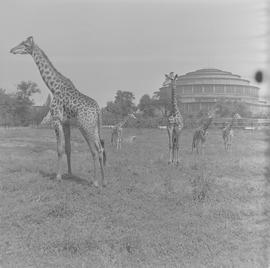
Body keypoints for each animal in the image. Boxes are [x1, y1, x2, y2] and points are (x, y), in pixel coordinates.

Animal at [11, 36, 107, 187]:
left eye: (24, 44)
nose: (12, 50)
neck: (53, 86)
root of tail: (98, 109)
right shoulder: (66, 123)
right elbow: (68, 148)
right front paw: (69, 173)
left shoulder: (56, 120)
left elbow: (59, 149)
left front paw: (58, 176)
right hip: (95, 127)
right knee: (101, 149)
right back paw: (104, 181)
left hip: (85, 127)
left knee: (95, 150)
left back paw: (95, 182)